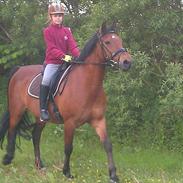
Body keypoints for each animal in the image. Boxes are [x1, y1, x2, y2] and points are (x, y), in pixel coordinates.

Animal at [0, 22, 132, 182]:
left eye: (120, 40)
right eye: (107, 42)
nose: (127, 62)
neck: (87, 85)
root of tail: (19, 70)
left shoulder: (98, 120)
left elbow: (107, 145)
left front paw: (113, 175)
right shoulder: (70, 122)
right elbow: (68, 148)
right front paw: (67, 172)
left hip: (41, 117)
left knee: (35, 135)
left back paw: (39, 165)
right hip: (17, 109)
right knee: (12, 129)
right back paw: (8, 158)